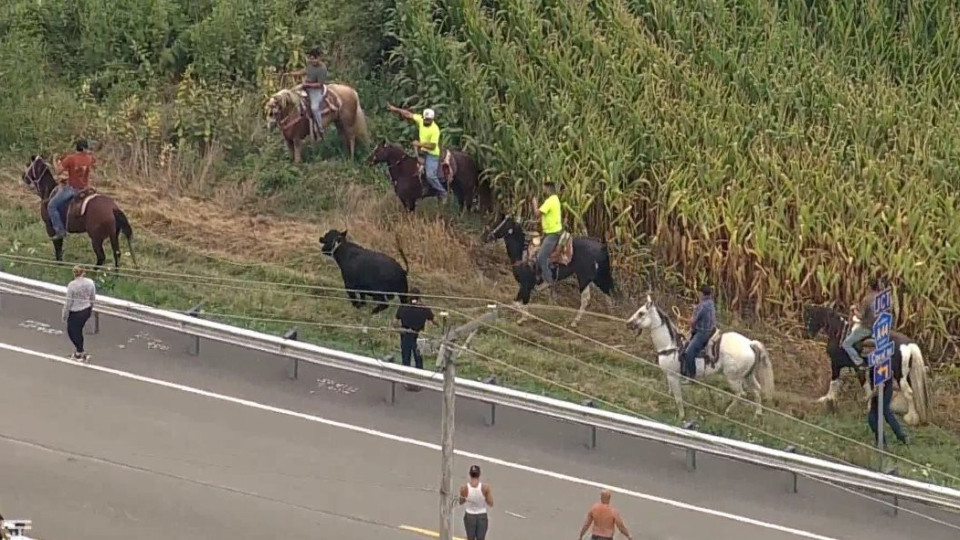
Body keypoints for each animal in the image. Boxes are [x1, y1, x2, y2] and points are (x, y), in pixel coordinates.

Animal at [484, 214, 620, 324]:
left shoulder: (525, 284)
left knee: (586, 299)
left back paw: (574, 322)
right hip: (597, 277)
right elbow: (519, 302)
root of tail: (601, 247)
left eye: (504, 224)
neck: (522, 254)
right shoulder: (526, 286)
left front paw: (524, 318)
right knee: (608, 294)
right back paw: (611, 316)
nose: (489, 236)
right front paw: (525, 317)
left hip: (584, 278)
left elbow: (517, 302)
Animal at [628, 296, 776, 422]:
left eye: (641, 313)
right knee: (757, 390)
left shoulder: (673, 376)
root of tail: (750, 343)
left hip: (733, 378)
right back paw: (757, 414)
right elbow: (672, 393)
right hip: (748, 375)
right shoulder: (670, 376)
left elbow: (678, 398)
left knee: (741, 394)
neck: (670, 345)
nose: (628, 324)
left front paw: (681, 416)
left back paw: (727, 412)